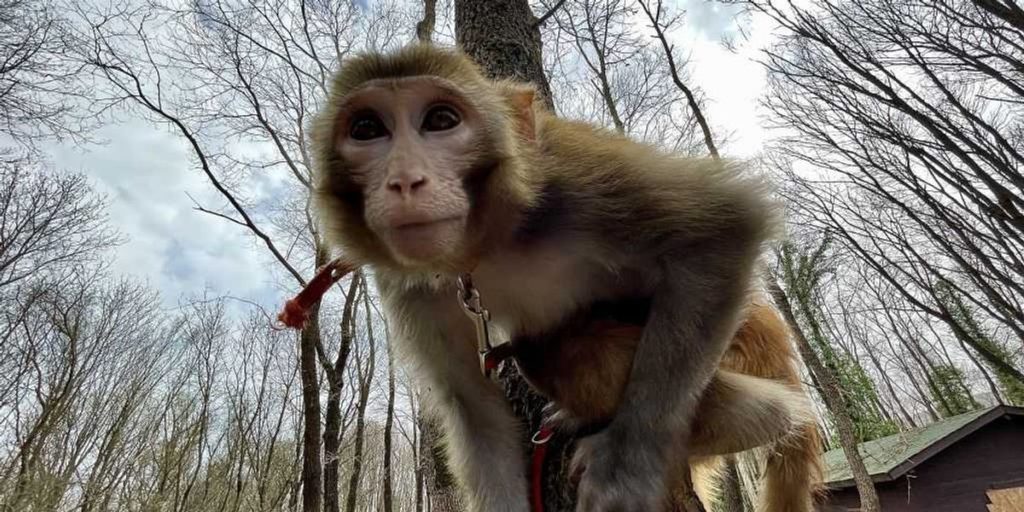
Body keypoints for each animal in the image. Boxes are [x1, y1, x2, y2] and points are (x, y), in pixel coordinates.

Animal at [309, 44, 820, 512]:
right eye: (367, 129)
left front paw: (624, 471)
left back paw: (764, 417)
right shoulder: (407, 285)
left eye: (440, 120)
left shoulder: (575, 180)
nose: (404, 181)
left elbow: (726, 226)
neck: (488, 244)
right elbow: (474, 408)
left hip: (737, 348)